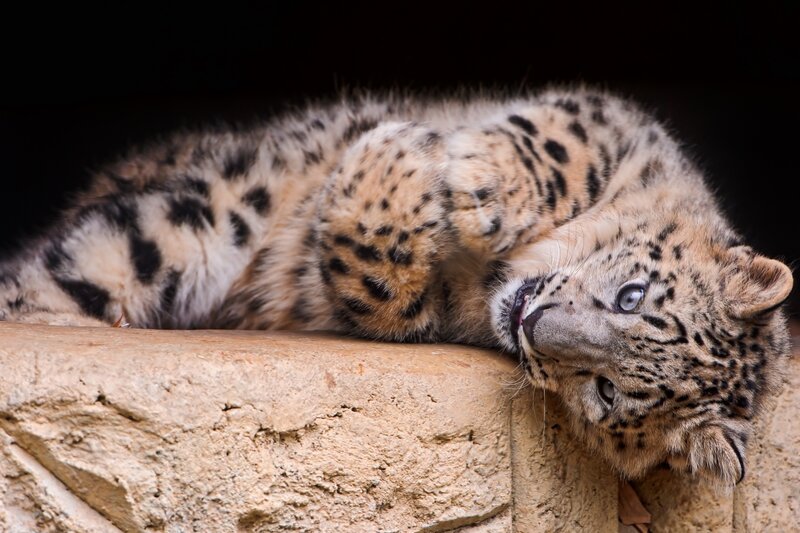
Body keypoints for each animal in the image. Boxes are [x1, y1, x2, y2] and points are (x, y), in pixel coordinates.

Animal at [0, 87, 792, 488]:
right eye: (630, 294)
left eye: (606, 394)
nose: (536, 322)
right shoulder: (612, 122)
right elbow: (559, 142)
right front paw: (461, 174)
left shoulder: (419, 314)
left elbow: (381, 288)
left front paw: (394, 162)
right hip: (198, 213)